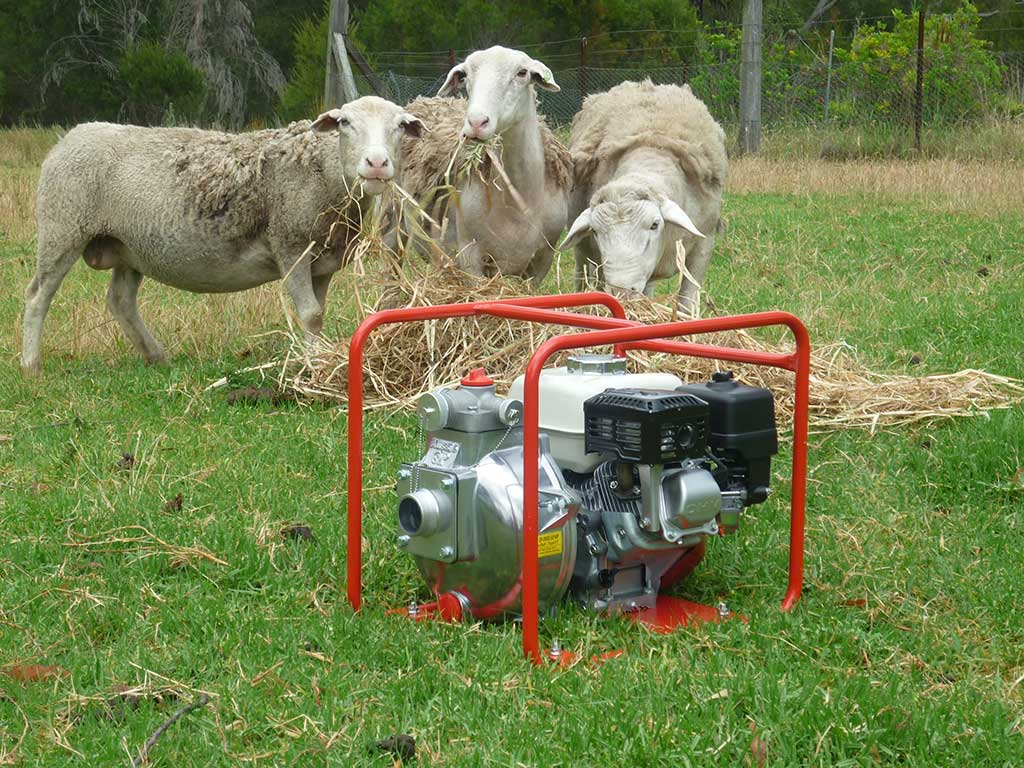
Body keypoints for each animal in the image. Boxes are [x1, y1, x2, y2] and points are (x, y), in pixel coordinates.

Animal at [20, 96, 426, 374]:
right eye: (345, 123)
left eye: (399, 126)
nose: (377, 164)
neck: (323, 173)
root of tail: (69, 137)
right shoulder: (291, 246)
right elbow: (310, 314)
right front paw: (315, 366)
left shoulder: (322, 261)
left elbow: (317, 313)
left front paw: (319, 355)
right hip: (62, 229)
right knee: (38, 296)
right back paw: (30, 364)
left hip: (129, 247)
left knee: (120, 300)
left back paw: (155, 354)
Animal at [395, 46, 572, 285]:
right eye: (465, 75)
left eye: (522, 73)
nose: (477, 122)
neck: (518, 203)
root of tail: (423, 100)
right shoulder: (471, 258)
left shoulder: (541, 261)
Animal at [562, 80, 727, 315]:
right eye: (594, 231)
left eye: (654, 225)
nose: (622, 292)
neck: (651, 150)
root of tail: (645, 84)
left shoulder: (704, 245)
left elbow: (687, 302)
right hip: (583, 250)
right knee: (582, 274)